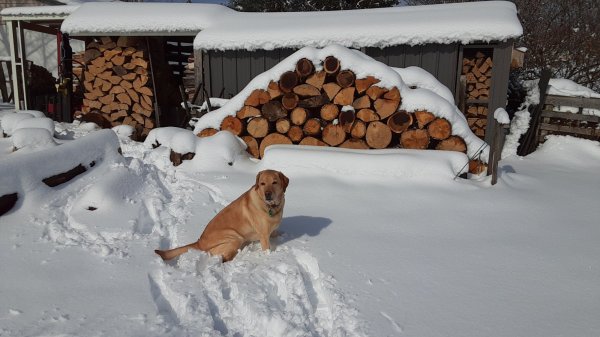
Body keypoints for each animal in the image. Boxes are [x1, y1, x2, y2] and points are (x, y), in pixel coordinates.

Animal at [154, 169, 288, 262]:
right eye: (262, 183)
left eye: (274, 182)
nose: (267, 194)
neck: (271, 207)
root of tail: (199, 243)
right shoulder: (264, 236)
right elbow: (267, 249)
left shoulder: (272, 230)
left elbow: (276, 233)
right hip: (235, 237)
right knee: (224, 258)